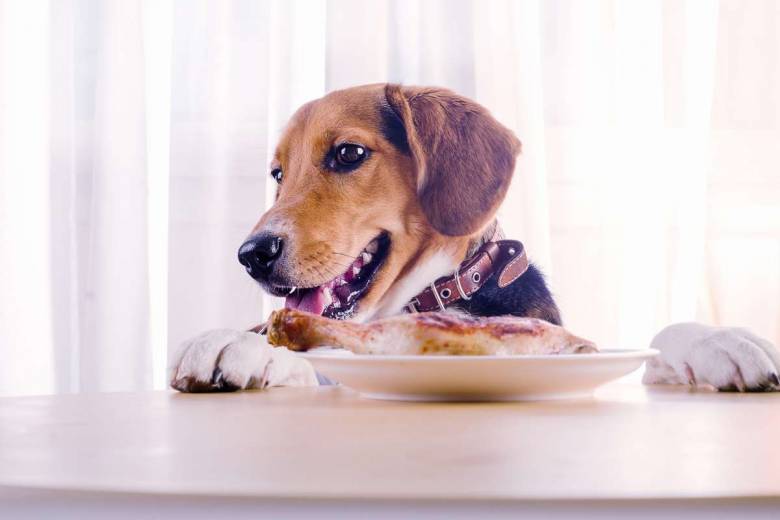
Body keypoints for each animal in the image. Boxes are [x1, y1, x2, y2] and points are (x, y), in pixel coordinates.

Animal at [168, 83, 776, 392]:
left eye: (348, 153)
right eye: (277, 174)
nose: (251, 255)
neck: (436, 294)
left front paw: (722, 342)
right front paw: (243, 344)